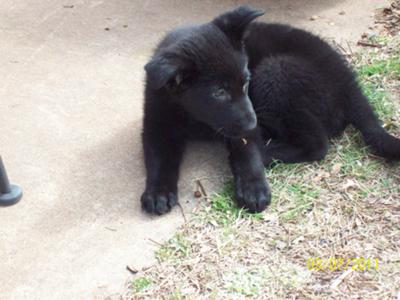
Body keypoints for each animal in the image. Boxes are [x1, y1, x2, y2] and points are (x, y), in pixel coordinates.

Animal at [141, 5, 400, 214]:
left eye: (246, 81)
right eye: (219, 93)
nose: (253, 123)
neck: (195, 116)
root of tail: (348, 83)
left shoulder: (247, 117)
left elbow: (247, 150)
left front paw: (253, 186)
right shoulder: (157, 123)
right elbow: (158, 159)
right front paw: (158, 192)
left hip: (275, 70)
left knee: (318, 145)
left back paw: (265, 151)